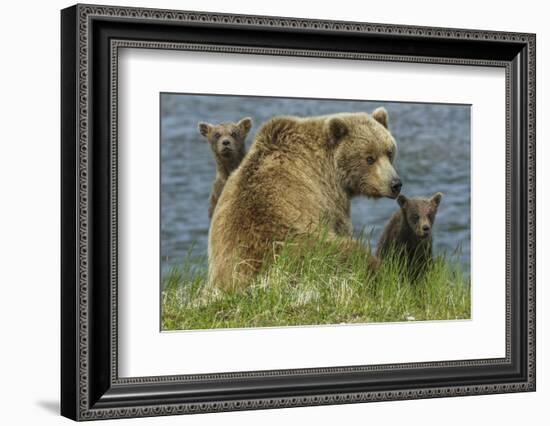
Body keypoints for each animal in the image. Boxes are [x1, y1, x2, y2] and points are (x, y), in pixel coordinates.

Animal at [209, 108, 404, 292]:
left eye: (389, 152)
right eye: (369, 158)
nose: (395, 184)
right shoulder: (330, 198)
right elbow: (342, 227)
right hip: (304, 252)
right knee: (352, 256)